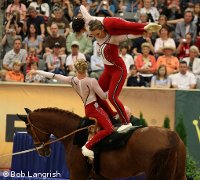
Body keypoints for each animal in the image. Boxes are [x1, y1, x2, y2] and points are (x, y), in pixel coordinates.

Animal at [17, 107, 186, 179]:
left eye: (29, 130)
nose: (42, 151)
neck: (76, 134)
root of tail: (171, 136)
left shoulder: (77, 175)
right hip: (178, 174)